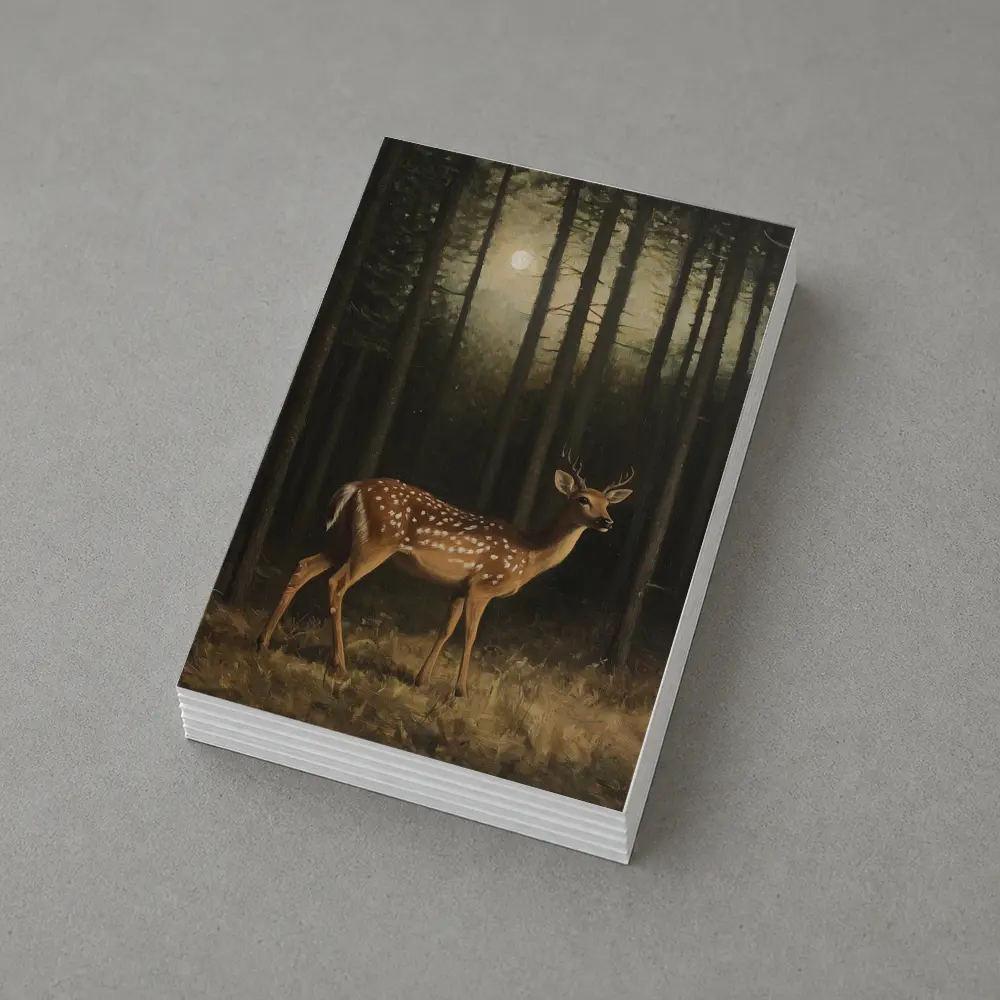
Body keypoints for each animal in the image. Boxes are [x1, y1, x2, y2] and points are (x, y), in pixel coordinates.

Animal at [256, 452, 633, 698]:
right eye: (582, 499)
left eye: (607, 503)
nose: (607, 521)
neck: (528, 555)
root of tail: (354, 487)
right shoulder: (483, 585)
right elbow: (470, 635)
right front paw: (460, 690)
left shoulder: (459, 588)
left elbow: (445, 629)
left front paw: (421, 680)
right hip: (376, 543)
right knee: (337, 583)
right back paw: (339, 664)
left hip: (345, 537)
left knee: (304, 565)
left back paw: (262, 641)